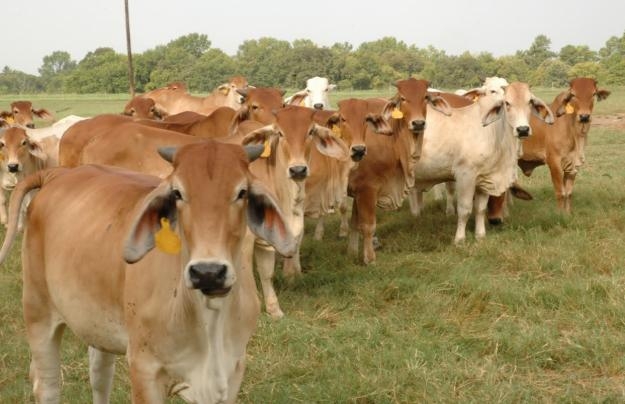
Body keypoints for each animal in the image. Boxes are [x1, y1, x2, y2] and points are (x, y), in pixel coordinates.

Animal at [0, 140, 296, 402]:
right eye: (177, 193)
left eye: (241, 192)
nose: (208, 272)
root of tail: (58, 173)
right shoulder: (144, 369)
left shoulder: (232, 370)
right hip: (37, 311)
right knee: (46, 385)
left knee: (99, 375)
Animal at [516, 77, 608, 213]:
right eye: (573, 94)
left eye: (593, 94)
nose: (584, 116)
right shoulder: (554, 162)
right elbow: (561, 192)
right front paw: (559, 214)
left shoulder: (573, 165)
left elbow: (568, 193)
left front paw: (567, 213)